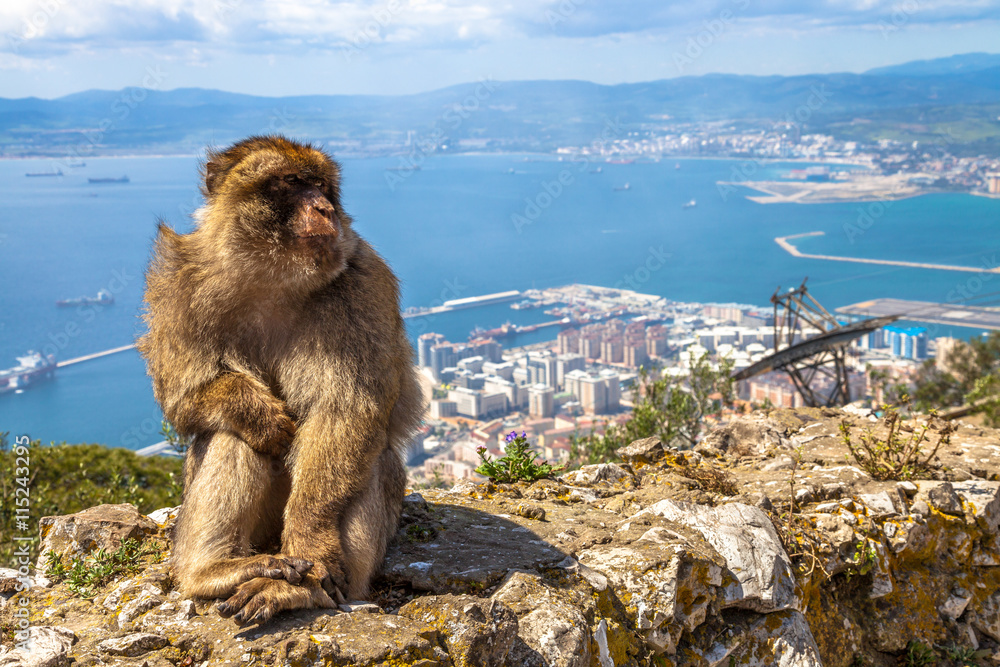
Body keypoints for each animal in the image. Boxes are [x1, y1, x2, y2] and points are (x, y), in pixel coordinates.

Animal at [137, 135, 424, 626]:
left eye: (321, 185)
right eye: (291, 182)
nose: (325, 208)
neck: (273, 277)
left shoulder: (363, 283)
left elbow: (345, 412)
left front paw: (313, 541)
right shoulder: (179, 281)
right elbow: (182, 394)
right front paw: (256, 412)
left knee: (367, 458)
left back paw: (301, 588)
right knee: (230, 435)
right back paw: (212, 570)